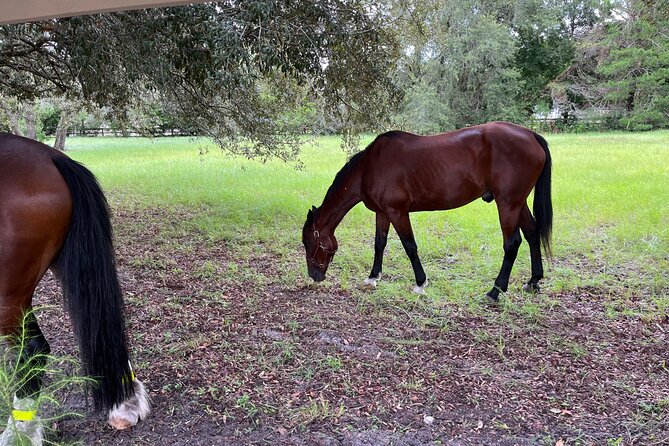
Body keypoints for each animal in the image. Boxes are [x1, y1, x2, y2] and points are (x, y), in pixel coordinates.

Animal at [302, 121, 552, 301]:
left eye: (307, 242)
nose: (315, 276)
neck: (369, 168)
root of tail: (531, 135)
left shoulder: (397, 212)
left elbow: (409, 246)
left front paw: (420, 283)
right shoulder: (382, 213)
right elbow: (379, 243)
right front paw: (373, 277)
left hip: (507, 204)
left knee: (512, 243)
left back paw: (495, 291)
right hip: (517, 203)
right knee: (532, 233)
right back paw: (533, 281)